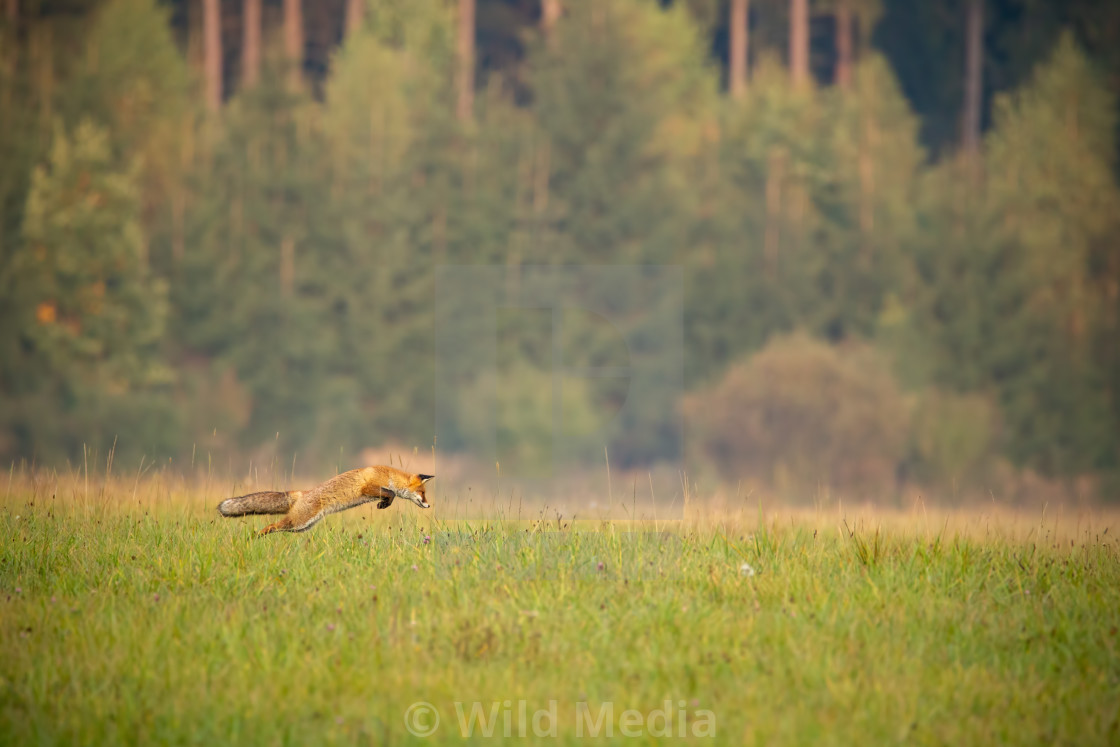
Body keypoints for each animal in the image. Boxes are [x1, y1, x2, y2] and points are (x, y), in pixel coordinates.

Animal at [217, 463, 432, 535]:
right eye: (422, 493)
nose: (429, 505)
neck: (388, 475)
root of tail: (303, 493)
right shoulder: (369, 486)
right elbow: (392, 493)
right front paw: (383, 504)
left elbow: (391, 494)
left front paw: (383, 504)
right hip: (298, 522)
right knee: (270, 526)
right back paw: (254, 537)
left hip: (301, 528)